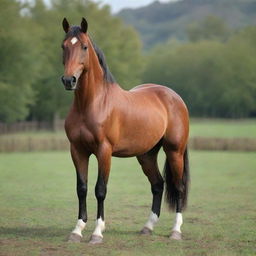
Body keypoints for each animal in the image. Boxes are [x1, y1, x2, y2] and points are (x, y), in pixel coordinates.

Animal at [61, 17, 189, 244]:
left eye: (84, 47)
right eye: (63, 46)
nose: (69, 80)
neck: (92, 103)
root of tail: (175, 97)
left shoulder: (104, 151)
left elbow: (100, 190)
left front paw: (97, 233)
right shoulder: (77, 151)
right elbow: (81, 189)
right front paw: (77, 230)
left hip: (175, 152)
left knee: (179, 187)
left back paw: (176, 231)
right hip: (147, 155)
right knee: (158, 184)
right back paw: (147, 227)